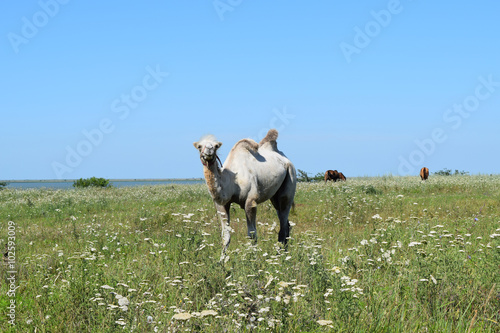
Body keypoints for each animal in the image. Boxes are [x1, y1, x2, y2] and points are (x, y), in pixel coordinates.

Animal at [193, 128, 296, 258]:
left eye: (216, 146)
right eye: (199, 146)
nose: (209, 151)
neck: (232, 180)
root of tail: (286, 159)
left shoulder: (250, 202)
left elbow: (252, 234)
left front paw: (253, 258)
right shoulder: (222, 204)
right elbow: (225, 235)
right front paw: (222, 260)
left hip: (290, 178)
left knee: (283, 220)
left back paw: (280, 255)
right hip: (275, 196)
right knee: (286, 223)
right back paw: (284, 253)